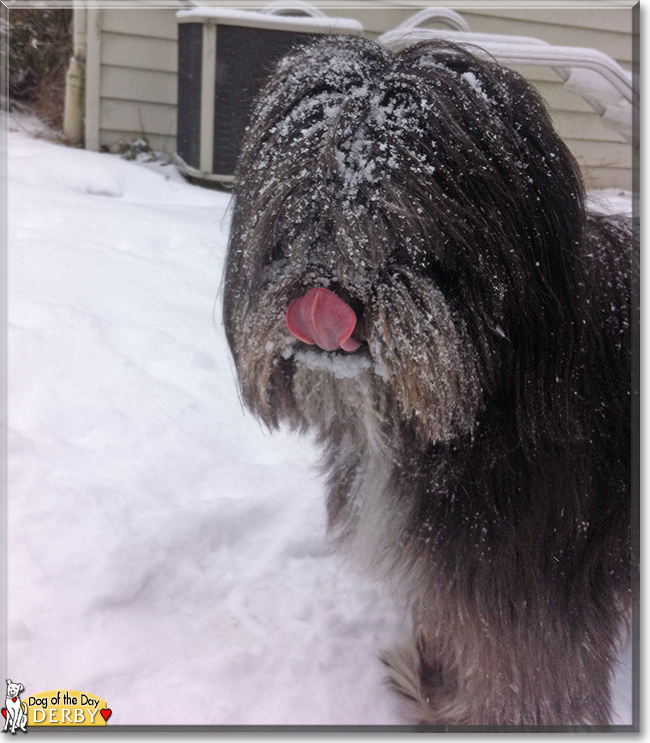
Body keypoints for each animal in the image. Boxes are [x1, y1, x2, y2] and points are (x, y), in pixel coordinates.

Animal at [220, 36, 632, 728]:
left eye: (401, 224)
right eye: (304, 217)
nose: (322, 298)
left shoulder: (537, 584)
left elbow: (519, 676)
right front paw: (433, 681)